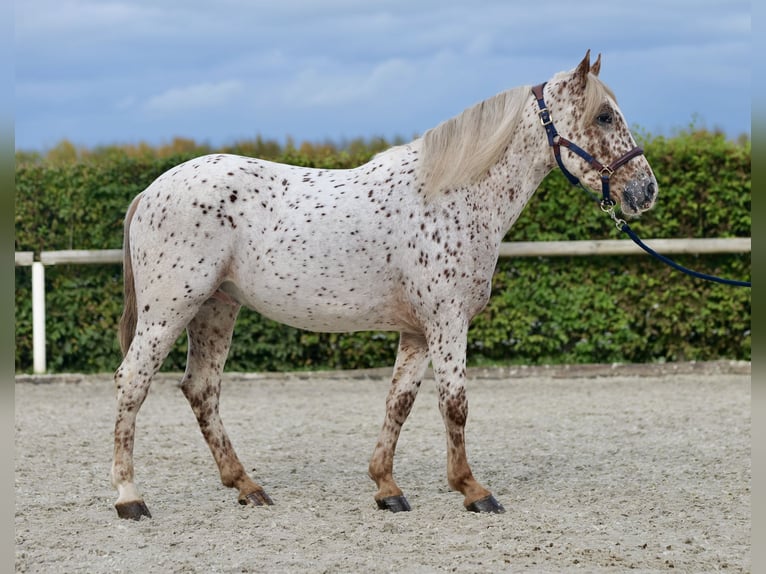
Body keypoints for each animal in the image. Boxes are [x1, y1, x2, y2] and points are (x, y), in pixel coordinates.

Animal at [112, 51, 660, 520]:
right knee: (132, 382)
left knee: (201, 389)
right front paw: (472, 489)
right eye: (604, 116)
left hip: (215, 309)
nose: (645, 190)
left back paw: (247, 486)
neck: (452, 196)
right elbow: (455, 403)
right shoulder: (447, 321)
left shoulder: (417, 330)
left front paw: (387, 488)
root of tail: (150, 191)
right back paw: (129, 498)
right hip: (169, 310)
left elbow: (400, 403)